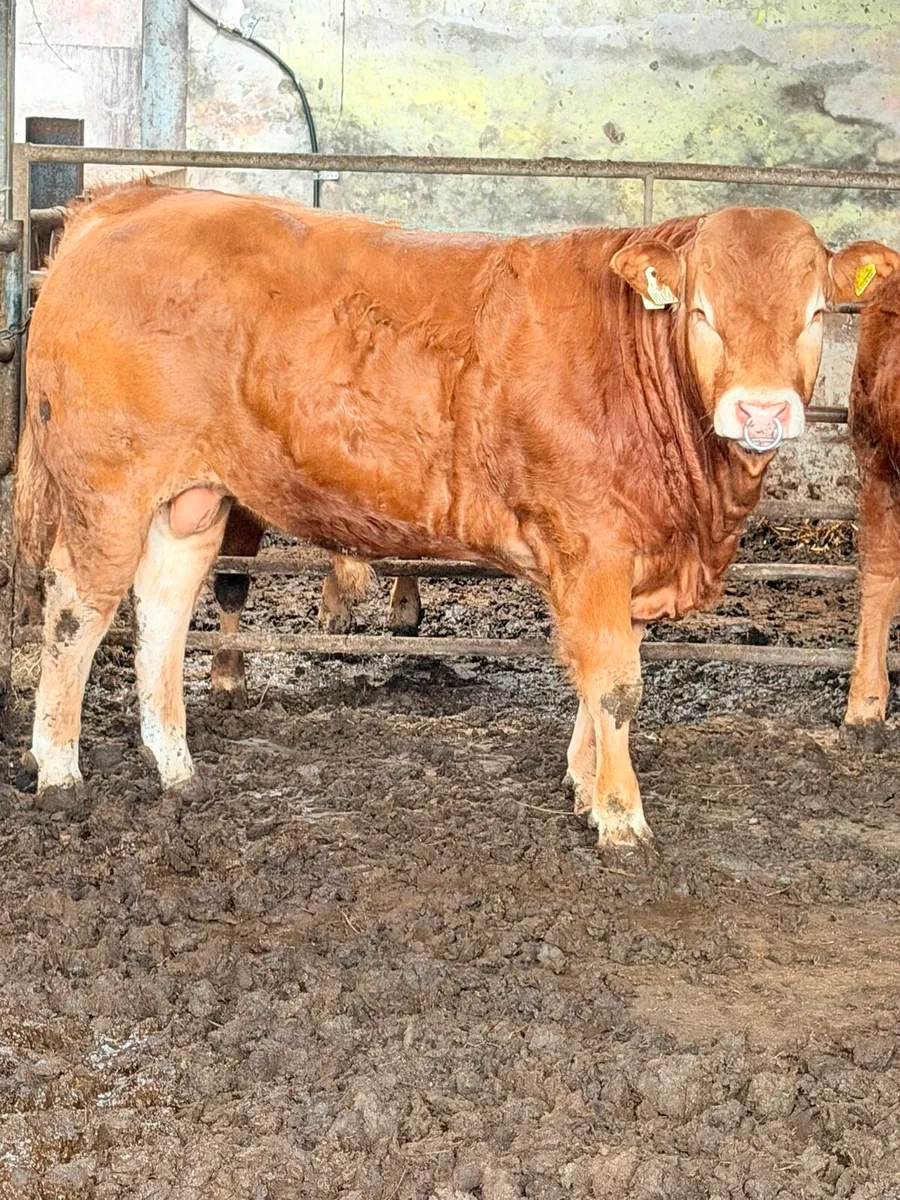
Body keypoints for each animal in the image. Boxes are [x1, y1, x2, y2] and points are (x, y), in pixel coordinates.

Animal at [16, 183, 895, 848]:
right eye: (704, 312)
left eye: (816, 314)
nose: (762, 411)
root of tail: (134, 197)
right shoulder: (593, 546)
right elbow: (615, 687)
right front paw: (620, 817)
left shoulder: (633, 560)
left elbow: (595, 684)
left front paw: (583, 786)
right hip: (109, 486)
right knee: (77, 611)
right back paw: (59, 772)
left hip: (190, 499)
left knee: (162, 607)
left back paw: (176, 766)